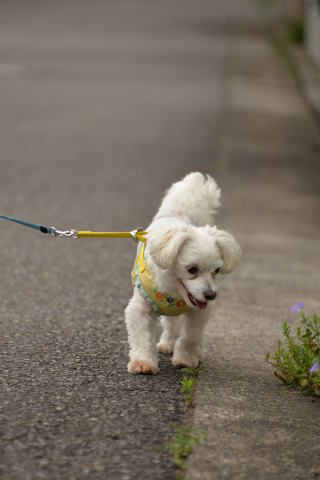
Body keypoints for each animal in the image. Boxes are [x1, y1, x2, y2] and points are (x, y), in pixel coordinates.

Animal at [125, 172, 240, 376]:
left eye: (216, 270)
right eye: (191, 269)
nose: (211, 295)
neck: (173, 292)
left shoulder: (198, 312)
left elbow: (189, 337)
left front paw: (185, 360)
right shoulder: (140, 308)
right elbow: (141, 338)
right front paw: (143, 362)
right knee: (170, 325)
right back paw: (166, 344)